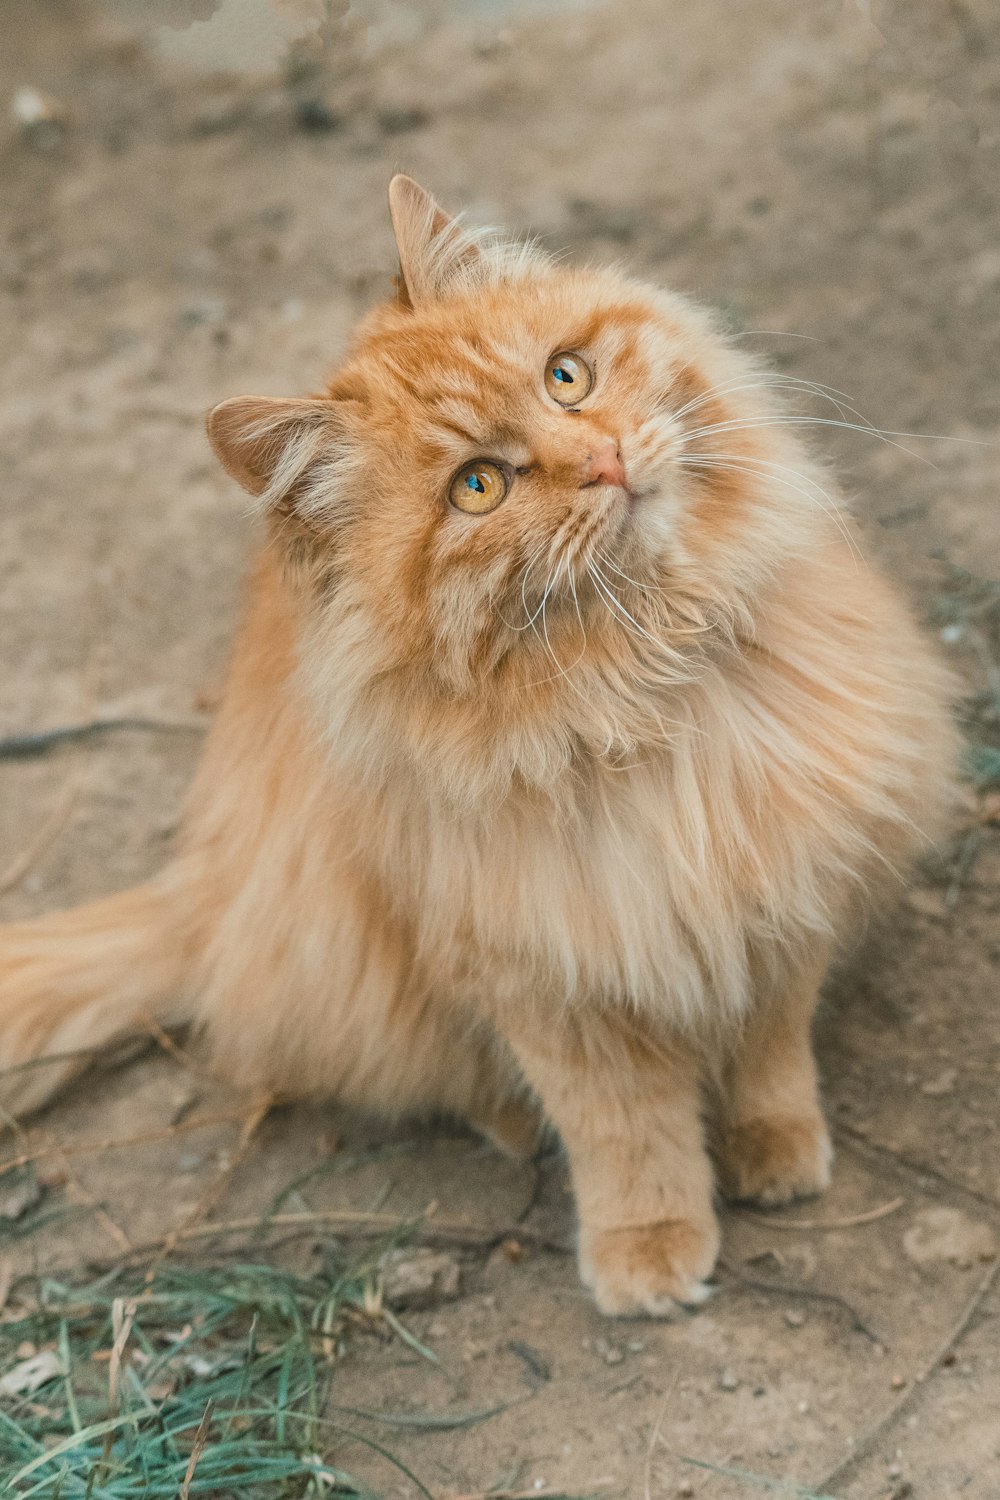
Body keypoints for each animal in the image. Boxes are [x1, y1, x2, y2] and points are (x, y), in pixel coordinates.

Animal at [0, 181, 953, 1320]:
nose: (603, 461)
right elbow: (624, 1128)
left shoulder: (781, 884)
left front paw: (775, 1147)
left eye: (565, 376)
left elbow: (770, 1047)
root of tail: (203, 892)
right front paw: (648, 1245)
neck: (649, 690)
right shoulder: (540, 969)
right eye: (479, 489)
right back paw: (508, 1124)